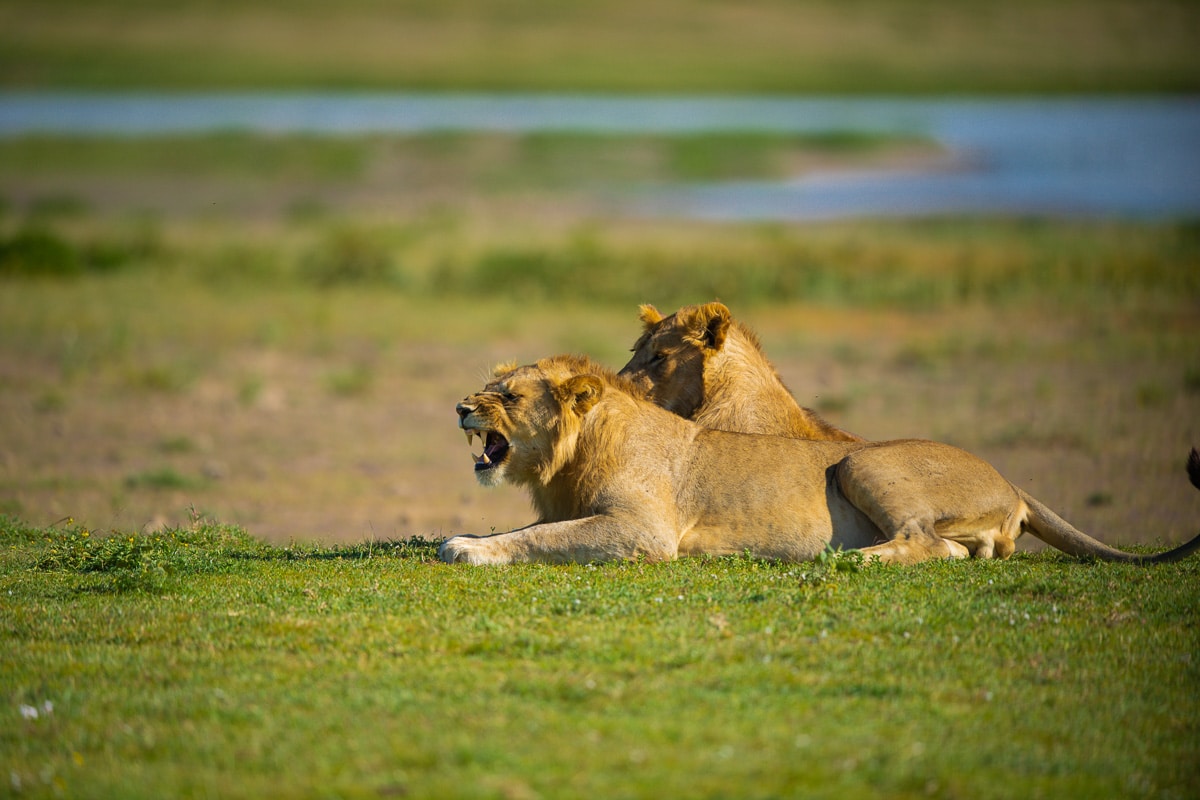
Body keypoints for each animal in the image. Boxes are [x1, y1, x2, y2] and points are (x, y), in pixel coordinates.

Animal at [444, 352, 1200, 566]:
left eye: (507, 396)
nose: (458, 407)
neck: (566, 460)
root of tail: (1012, 479)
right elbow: (533, 528)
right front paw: (471, 535)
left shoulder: (644, 531)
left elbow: (542, 538)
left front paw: (466, 549)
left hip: (861, 465)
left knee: (929, 544)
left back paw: (851, 559)